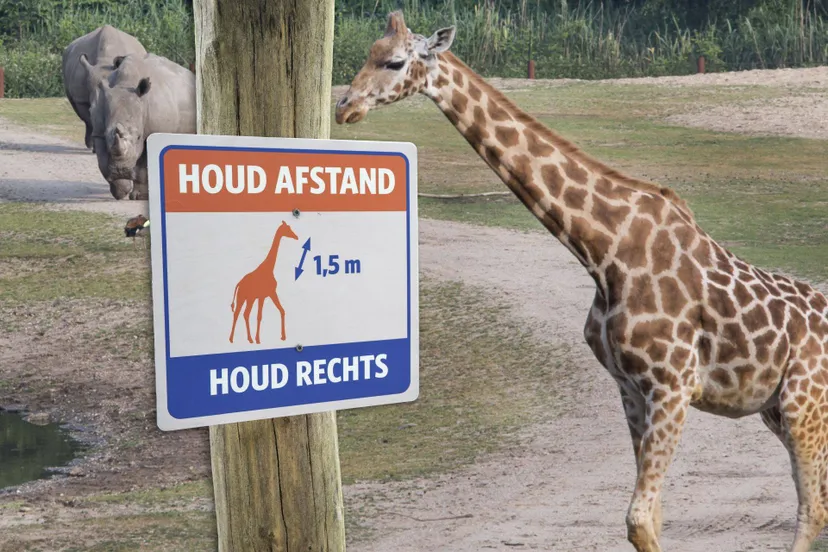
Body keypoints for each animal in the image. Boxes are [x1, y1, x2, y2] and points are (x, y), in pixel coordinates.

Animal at [335, 11, 828, 552]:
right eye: (368, 52)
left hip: (804, 406)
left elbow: (638, 517)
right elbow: (652, 517)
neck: (603, 253)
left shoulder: (673, 387)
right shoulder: (630, 388)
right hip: (778, 411)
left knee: (811, 509)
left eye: (394, 61)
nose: (345, 107)